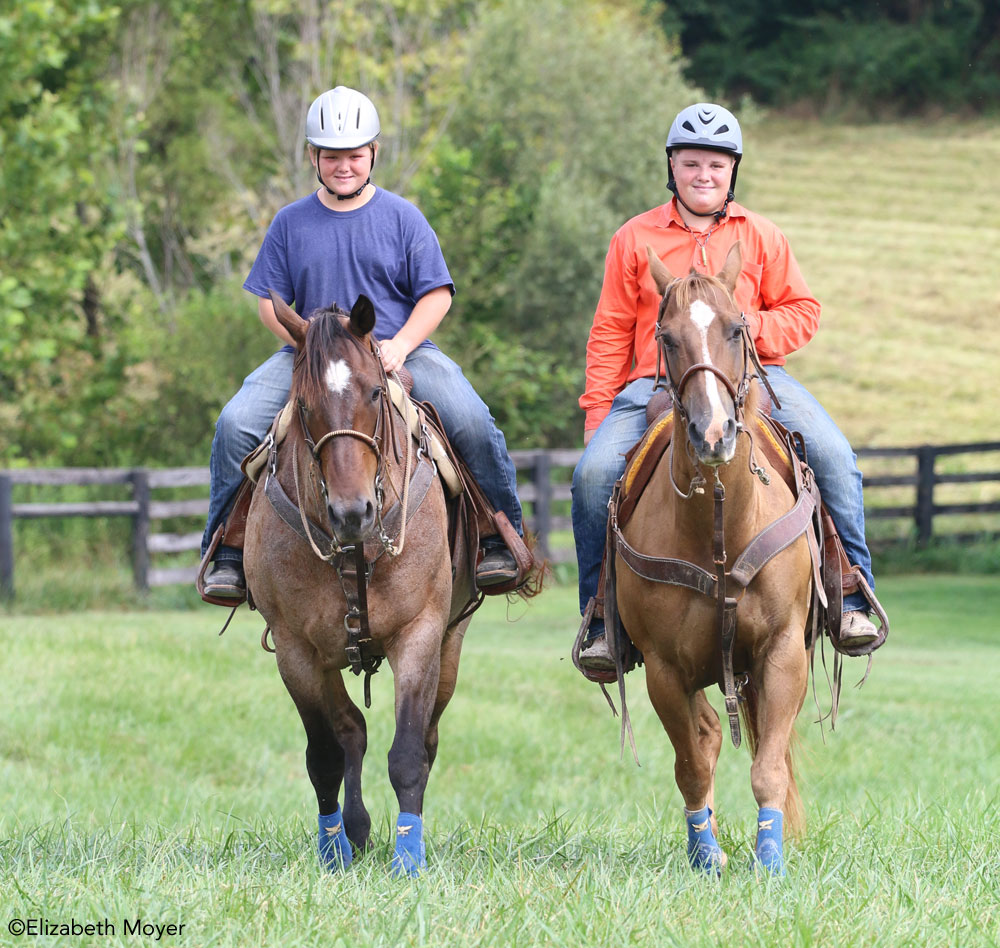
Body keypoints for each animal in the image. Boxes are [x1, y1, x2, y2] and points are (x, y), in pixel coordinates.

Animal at [244, 292, 474, 876]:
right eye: (303, 405)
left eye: (374, 391)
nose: (352, 512)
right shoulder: (295, 650)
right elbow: (325, 754)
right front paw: (333, 851)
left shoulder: (420, 633)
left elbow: (409, 753)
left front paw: (409, 858)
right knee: (350, 728)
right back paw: (355, 830)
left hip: (451, 642)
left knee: (426, 736)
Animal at [616, 243, 820, 872]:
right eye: (666, 336)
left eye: (737, 327)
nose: (713, 435)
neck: (720, 527)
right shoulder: (664, 670)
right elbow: (691, 764)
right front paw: (705, 856)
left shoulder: (783, 650)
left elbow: (767, 768)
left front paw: (770, 859)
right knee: (705, 738)